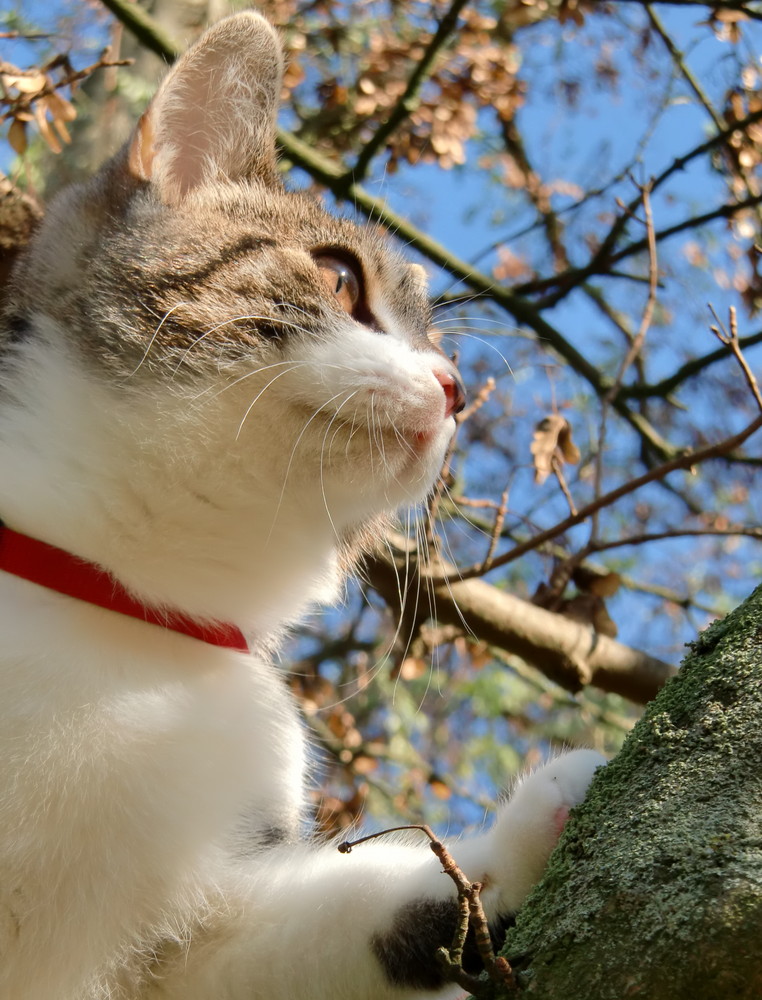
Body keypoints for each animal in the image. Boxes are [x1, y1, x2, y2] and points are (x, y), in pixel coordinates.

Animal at [0, 9, 604, 1000]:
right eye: (338, 277)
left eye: (441, 347)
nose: (455, 388)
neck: (132, 615)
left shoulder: (191, 935)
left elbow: (337, 924)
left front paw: (520, 842)